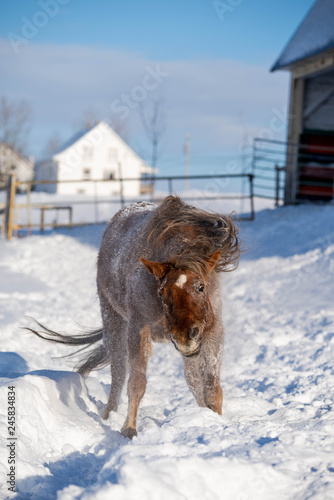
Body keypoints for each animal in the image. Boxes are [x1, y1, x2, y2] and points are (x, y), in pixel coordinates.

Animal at [26, 195, 240, 438]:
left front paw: (215, 420)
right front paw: (129, 429)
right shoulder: (139, 329)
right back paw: (109, 415)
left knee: (192, 378)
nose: (186, 335)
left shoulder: (212, 331)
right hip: (114, 322)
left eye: (201, 287)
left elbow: (211, 386)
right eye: (162, 293)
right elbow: (137, 382)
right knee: (118, 373)